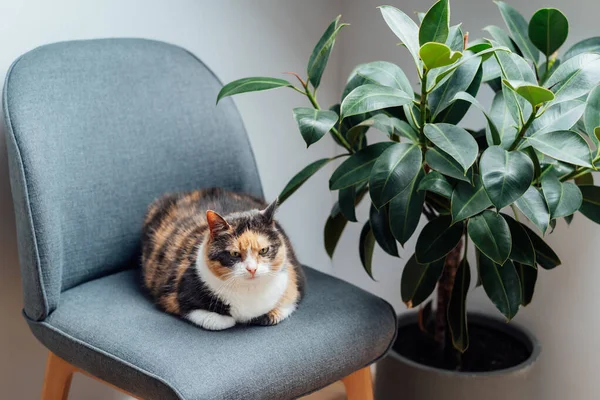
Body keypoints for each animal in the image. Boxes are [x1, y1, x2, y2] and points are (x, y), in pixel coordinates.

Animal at [141, 188, 304, 332]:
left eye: (264, 250)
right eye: (234, 253)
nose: (252, 269)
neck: (248, 291)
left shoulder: (292, 283)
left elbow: (281, 308)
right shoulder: (175, 296)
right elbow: (219, 321)